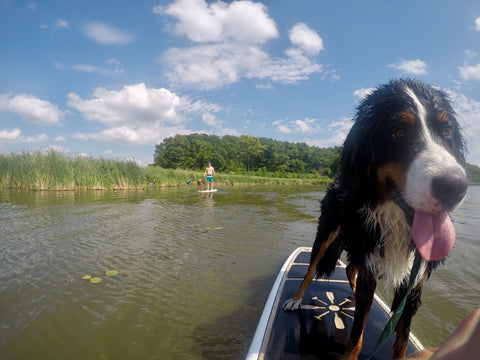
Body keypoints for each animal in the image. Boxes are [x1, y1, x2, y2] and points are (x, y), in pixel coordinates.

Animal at [284, 79, 466, 360]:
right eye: (398, 132)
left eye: (447, 131)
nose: (455, 188)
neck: (398, 221)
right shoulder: (369, 259)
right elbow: (357, 337)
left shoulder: (413, 283)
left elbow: (401, 339)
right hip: (330, 233)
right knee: (312, 266)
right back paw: (296, 298)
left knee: (350, 268)